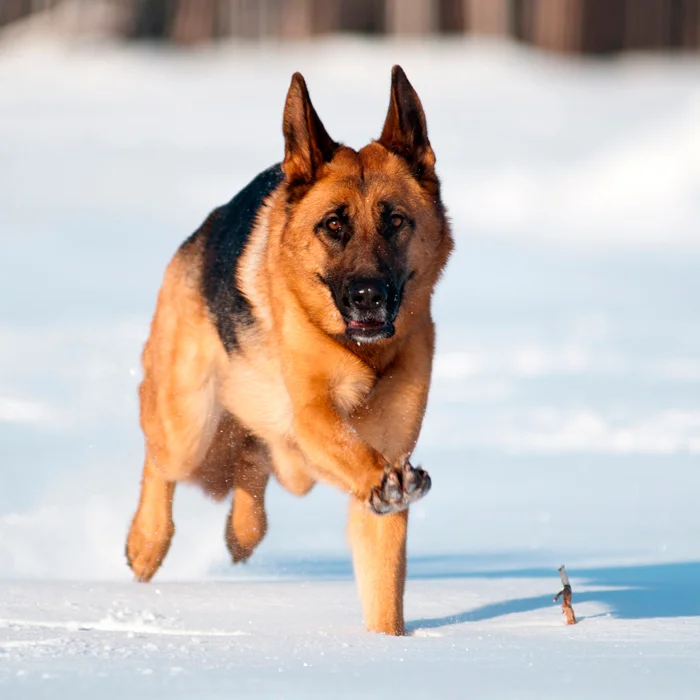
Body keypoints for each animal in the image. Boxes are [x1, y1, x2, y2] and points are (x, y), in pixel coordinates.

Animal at [126, 64, 454, 636]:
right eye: (334, 225)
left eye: (395, 220)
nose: (368, 296)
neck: (363, 355)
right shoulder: (312, 413)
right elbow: (354, 452)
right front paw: (381, 480)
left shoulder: (382, 470)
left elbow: (384, 593)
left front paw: (391, 646)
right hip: (190, 422)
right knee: (160, 460)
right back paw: (146, 542)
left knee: (252, 457)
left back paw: (243, 528)